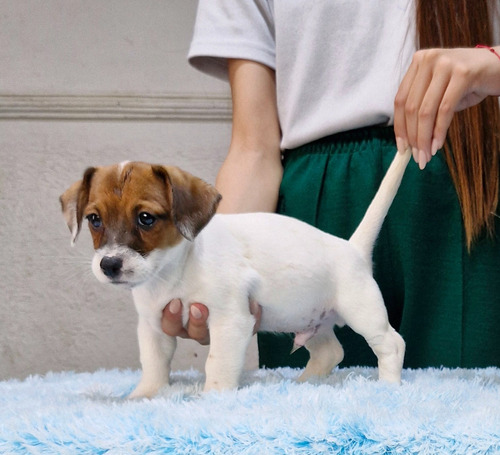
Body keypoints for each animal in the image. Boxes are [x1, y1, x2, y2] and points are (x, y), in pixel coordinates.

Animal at [59, 150, 410, 400]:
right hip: (313, 320)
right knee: (330, 352)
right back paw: (305, 384)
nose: (109, 265)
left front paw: (213, 397)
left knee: (391, 344)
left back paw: (388, 387)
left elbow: (217, 361)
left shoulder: (230, 321)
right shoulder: (153, 326)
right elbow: (154, 364)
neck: (177, 269)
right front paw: (145, 395)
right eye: (94, 219)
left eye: (146, 218)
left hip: (362, 310)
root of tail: (352, 248)